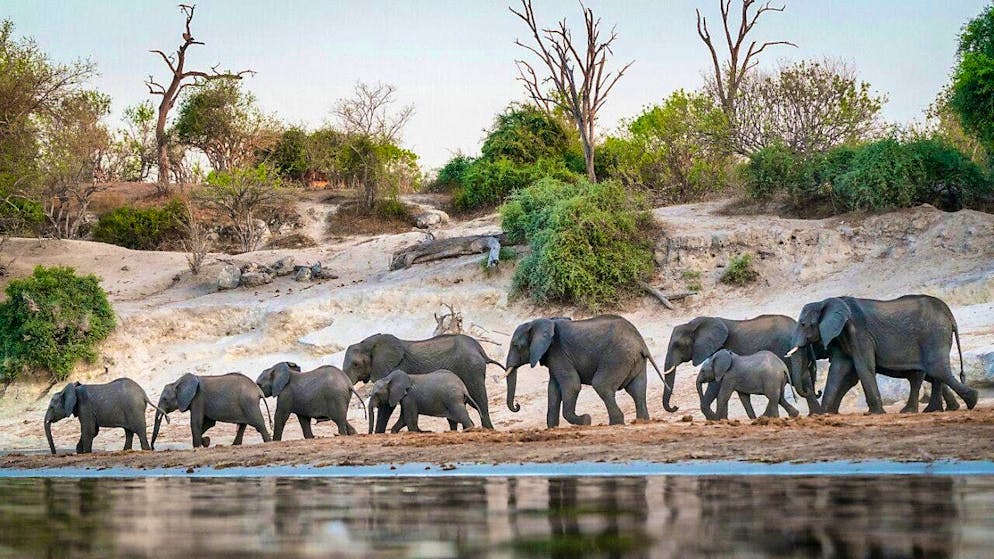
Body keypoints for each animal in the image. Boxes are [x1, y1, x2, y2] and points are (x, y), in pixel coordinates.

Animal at [343, 333, 503, 432]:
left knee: (479, 401)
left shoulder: (394, 368)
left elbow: (387, 407)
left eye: (356, 364)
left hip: (471, 369)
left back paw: (488, 430)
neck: (369, 344)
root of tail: (480, 349)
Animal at [504, 315, 666, 428]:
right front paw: (552, 428)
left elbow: (572, 386)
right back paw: (642, 422)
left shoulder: (559, 353)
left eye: (516, 345)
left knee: (602, 385)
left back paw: (615, 424)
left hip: (617, 357)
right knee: (637, 390)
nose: (517, 405)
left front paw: (586, 420)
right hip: (635, 360)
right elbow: (553, 390)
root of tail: (641, 343)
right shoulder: (553, 356)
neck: (542, 321)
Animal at [662, 314, 822, 418]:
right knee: (804, 380)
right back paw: (815, 415)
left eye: (677, 345)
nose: (675, 407)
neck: (694, 324)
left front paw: (715, 418)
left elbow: (715, 386)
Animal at [788, 294, 976, 415]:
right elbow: (839, 370)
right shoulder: (843, 336)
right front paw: (825, 414)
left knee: (936, 369)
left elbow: (863, 367)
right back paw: (932, 410)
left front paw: (874, 413)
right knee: (931, 373)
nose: (816, 390)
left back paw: (971, 401)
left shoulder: (859, 333)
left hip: (935, 334)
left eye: (803, 324)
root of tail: (950, 315)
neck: (826, 301)